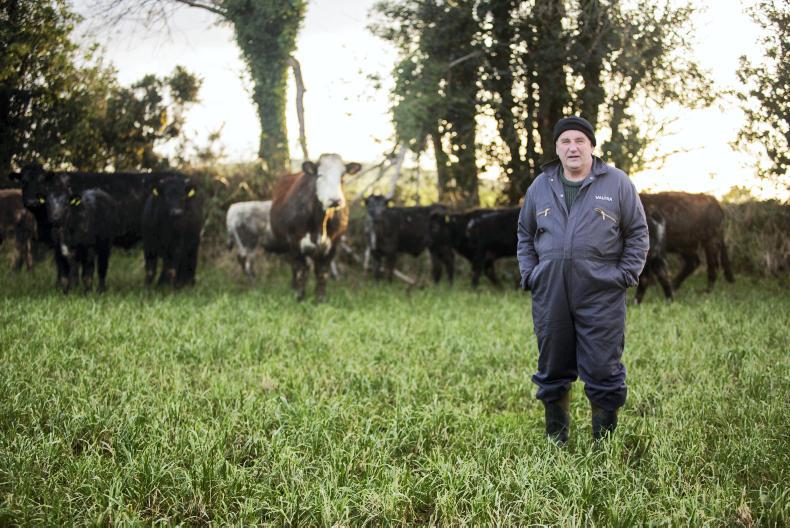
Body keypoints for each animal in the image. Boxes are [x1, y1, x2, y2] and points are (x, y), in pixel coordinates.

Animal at [270, 153, 360, 301]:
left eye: (342, 176)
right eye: (320, 175)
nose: (335, 200)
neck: (319, 223)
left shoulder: (332, 245)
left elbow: (322, 272)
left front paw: (320, 298)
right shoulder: (294, 242)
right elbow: (300, 270)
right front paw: (299, 296)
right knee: (295, 266)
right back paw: (294, 287)